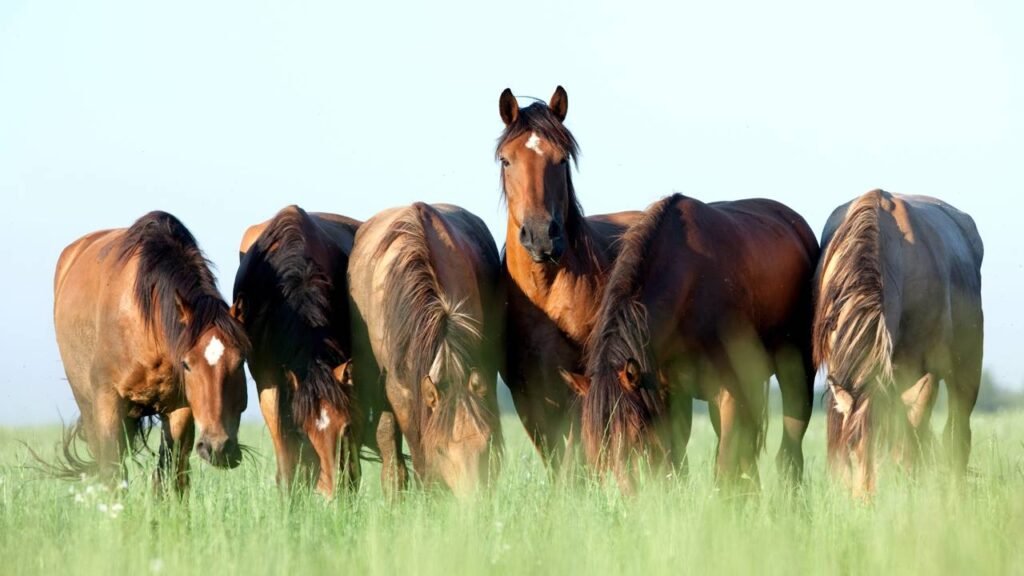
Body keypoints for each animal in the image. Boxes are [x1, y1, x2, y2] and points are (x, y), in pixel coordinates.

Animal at [53, 211, 250, 493]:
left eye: (241, 361)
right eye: (187, 364)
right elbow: (112, 470)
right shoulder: (108, 399)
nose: (218, 448)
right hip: (88, 404)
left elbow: (171, 474)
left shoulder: (180, 408)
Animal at [563, 193, 819, 493]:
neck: (688, 286)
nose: (624, 498)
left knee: (790, 448)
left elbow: (724, 467)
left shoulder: (729, 393)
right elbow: (675, 463)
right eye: (593, 445)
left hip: (796, 374)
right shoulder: (668, 394)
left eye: (635, 435)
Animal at [814, 189, 984, 496]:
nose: (866, 502)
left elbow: (909, 439)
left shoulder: (925, 373)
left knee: (956, 436)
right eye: (853, 449)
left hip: (967, 371)